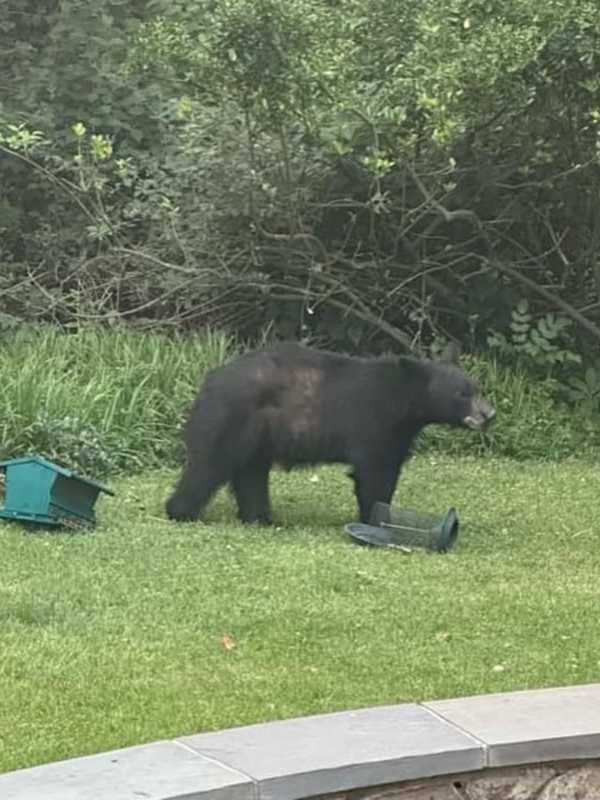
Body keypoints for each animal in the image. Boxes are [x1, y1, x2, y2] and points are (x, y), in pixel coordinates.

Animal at [166, 342, 494, 524]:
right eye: (462, 393)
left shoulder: (398, 432)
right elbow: (375, 472)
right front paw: (375, 519)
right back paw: (180, 511)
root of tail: (210, 379)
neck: (402, 406)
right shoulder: (373, 424)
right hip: (231, 419)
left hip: (258, 434)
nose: (489, 414)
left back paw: (259, 517)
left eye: (477, 387)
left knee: (250, 473)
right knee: (209, 466)